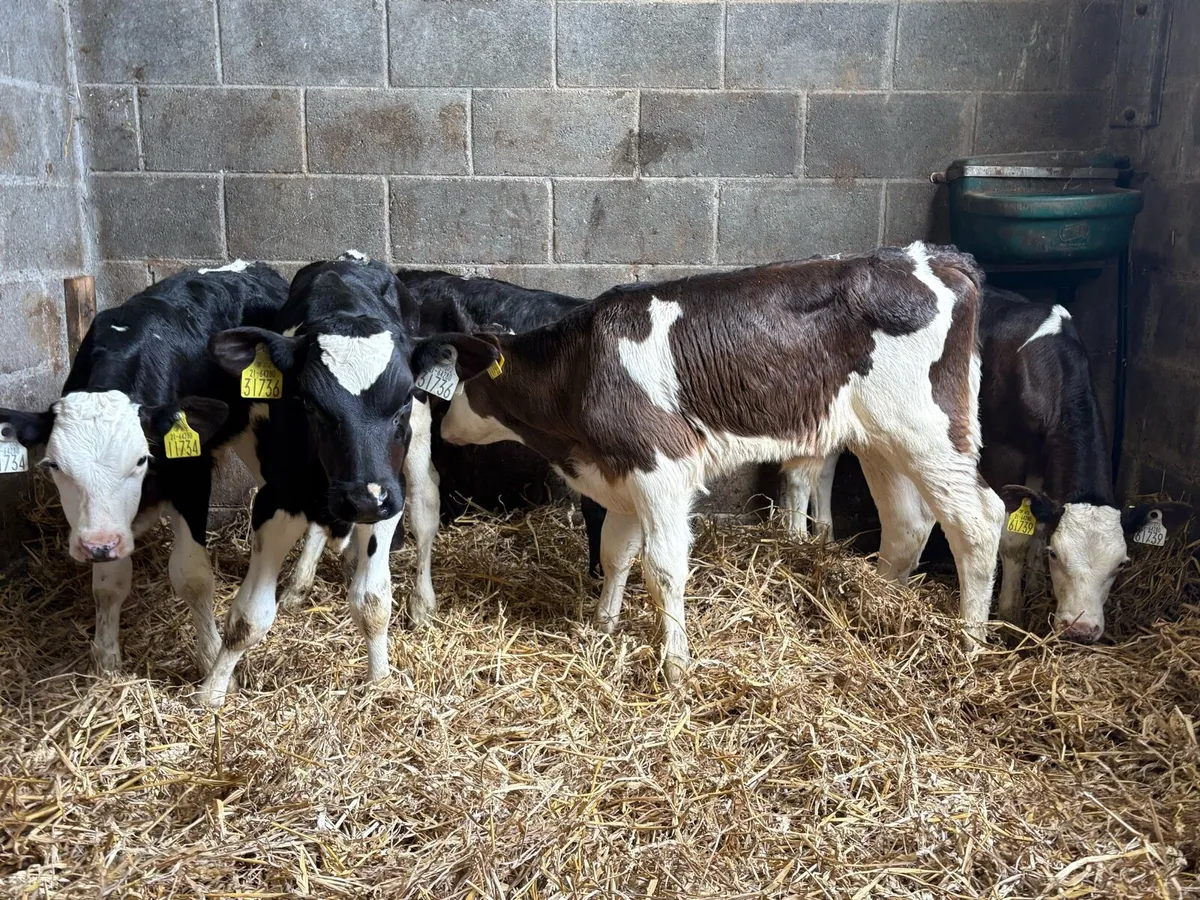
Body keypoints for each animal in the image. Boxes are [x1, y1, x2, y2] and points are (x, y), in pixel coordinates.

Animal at [0, 261, 289, 675]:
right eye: (53, 465)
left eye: (141, 459)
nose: (97, 545)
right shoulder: (109, 525)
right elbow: (108, 585)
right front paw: (107, 661)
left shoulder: (191, 477)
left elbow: (192, 576)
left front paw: (210, 660)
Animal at [196, 254, 496, 707]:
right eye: (308, 402)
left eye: (402, 399)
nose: (363, 501)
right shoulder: (277, 496)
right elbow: (248, 618)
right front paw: (212, 692)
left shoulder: (388, 493)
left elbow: (372, 601)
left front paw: (380, 679)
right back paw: (301, 584)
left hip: (416, 451)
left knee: (426, 507)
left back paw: (422, 602)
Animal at [437, 242, 1005, 684]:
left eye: (465, 379)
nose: (443, 429)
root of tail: (934, 257)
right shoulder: (625, 471)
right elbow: (616, 553)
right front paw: (602, 627)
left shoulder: (661, 467)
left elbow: (663, 569)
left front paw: (675, 666)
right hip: (880, 438)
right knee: (908, 523)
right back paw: (883, 605)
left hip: (927, 429)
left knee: (979, 521)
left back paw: (970, 646)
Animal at [795, 287, 1192, 641]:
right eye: (1058, 555)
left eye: (1121, 565)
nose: (1080, 631)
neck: (1045, 365)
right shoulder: (1005, 452)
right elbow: (1014, 536)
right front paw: (1010, 611)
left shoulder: (1042, 460)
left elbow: (1039, 520)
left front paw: (1035, 584)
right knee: (825, 465)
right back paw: (822, 534)